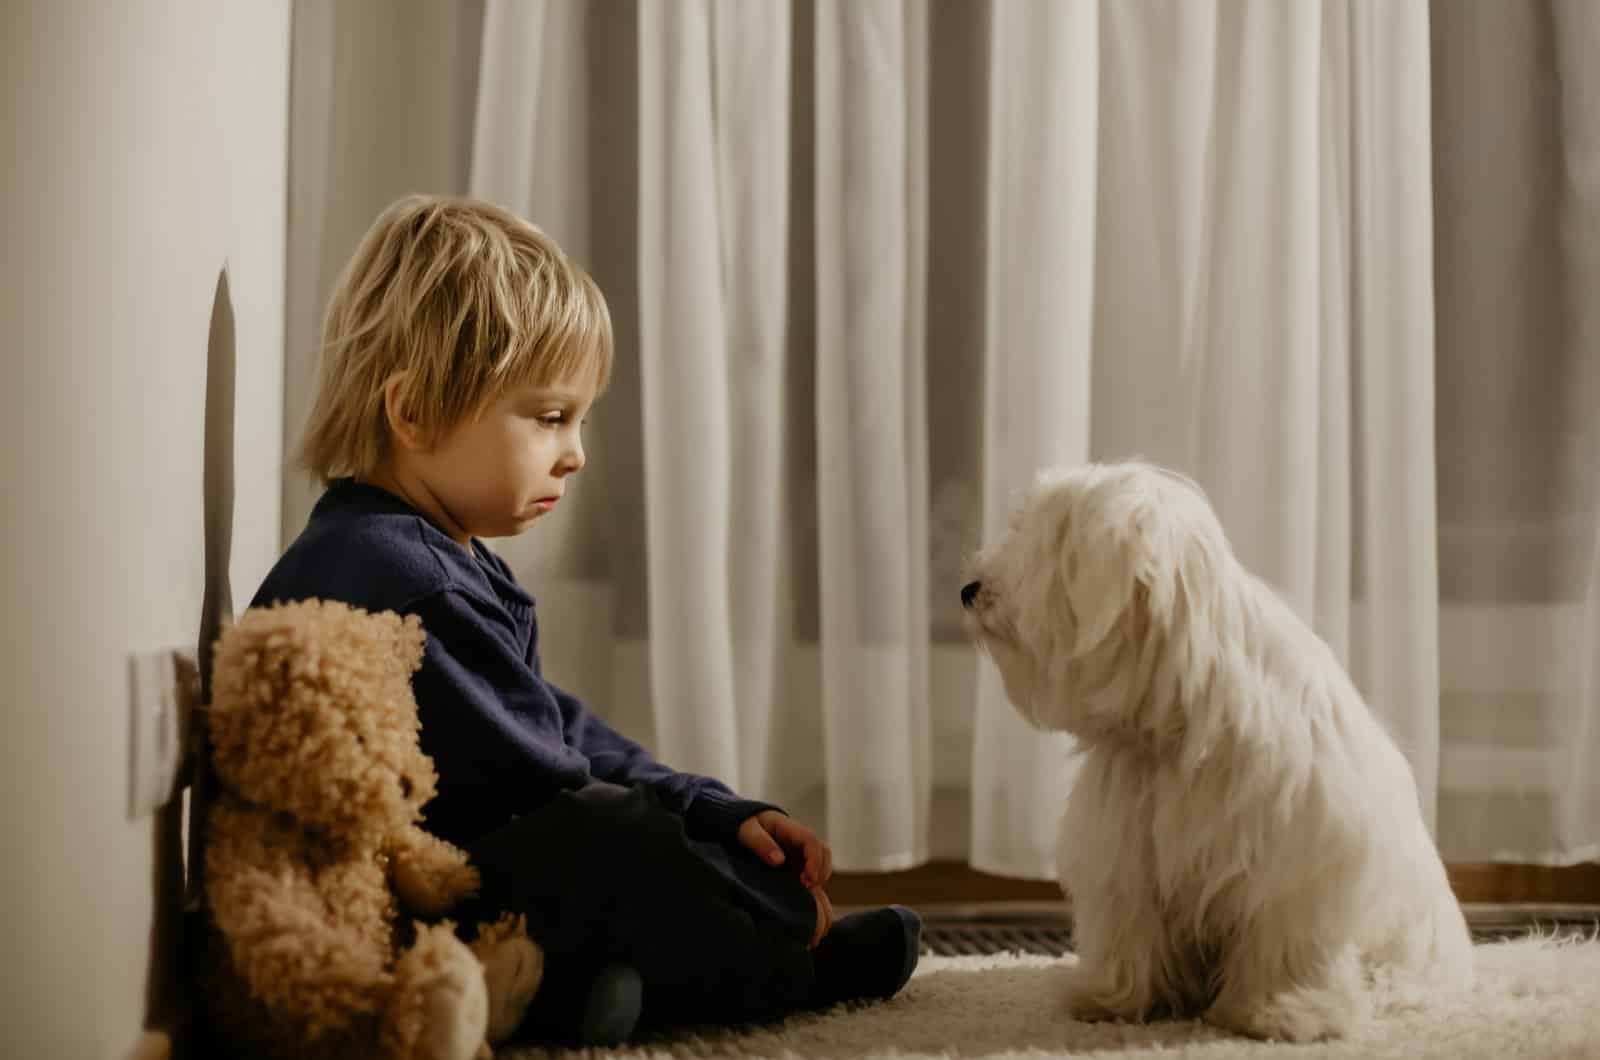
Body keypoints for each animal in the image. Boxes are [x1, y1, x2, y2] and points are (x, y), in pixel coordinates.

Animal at [960, 461, 1472, 1043]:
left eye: (1044, 541)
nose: (970, 588)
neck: (1183, 714)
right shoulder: (1127, 851)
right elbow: (1130, 929)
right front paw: (1114, 999)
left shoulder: (1291, 860)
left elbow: (1284, 942)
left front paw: (1282, 1011)